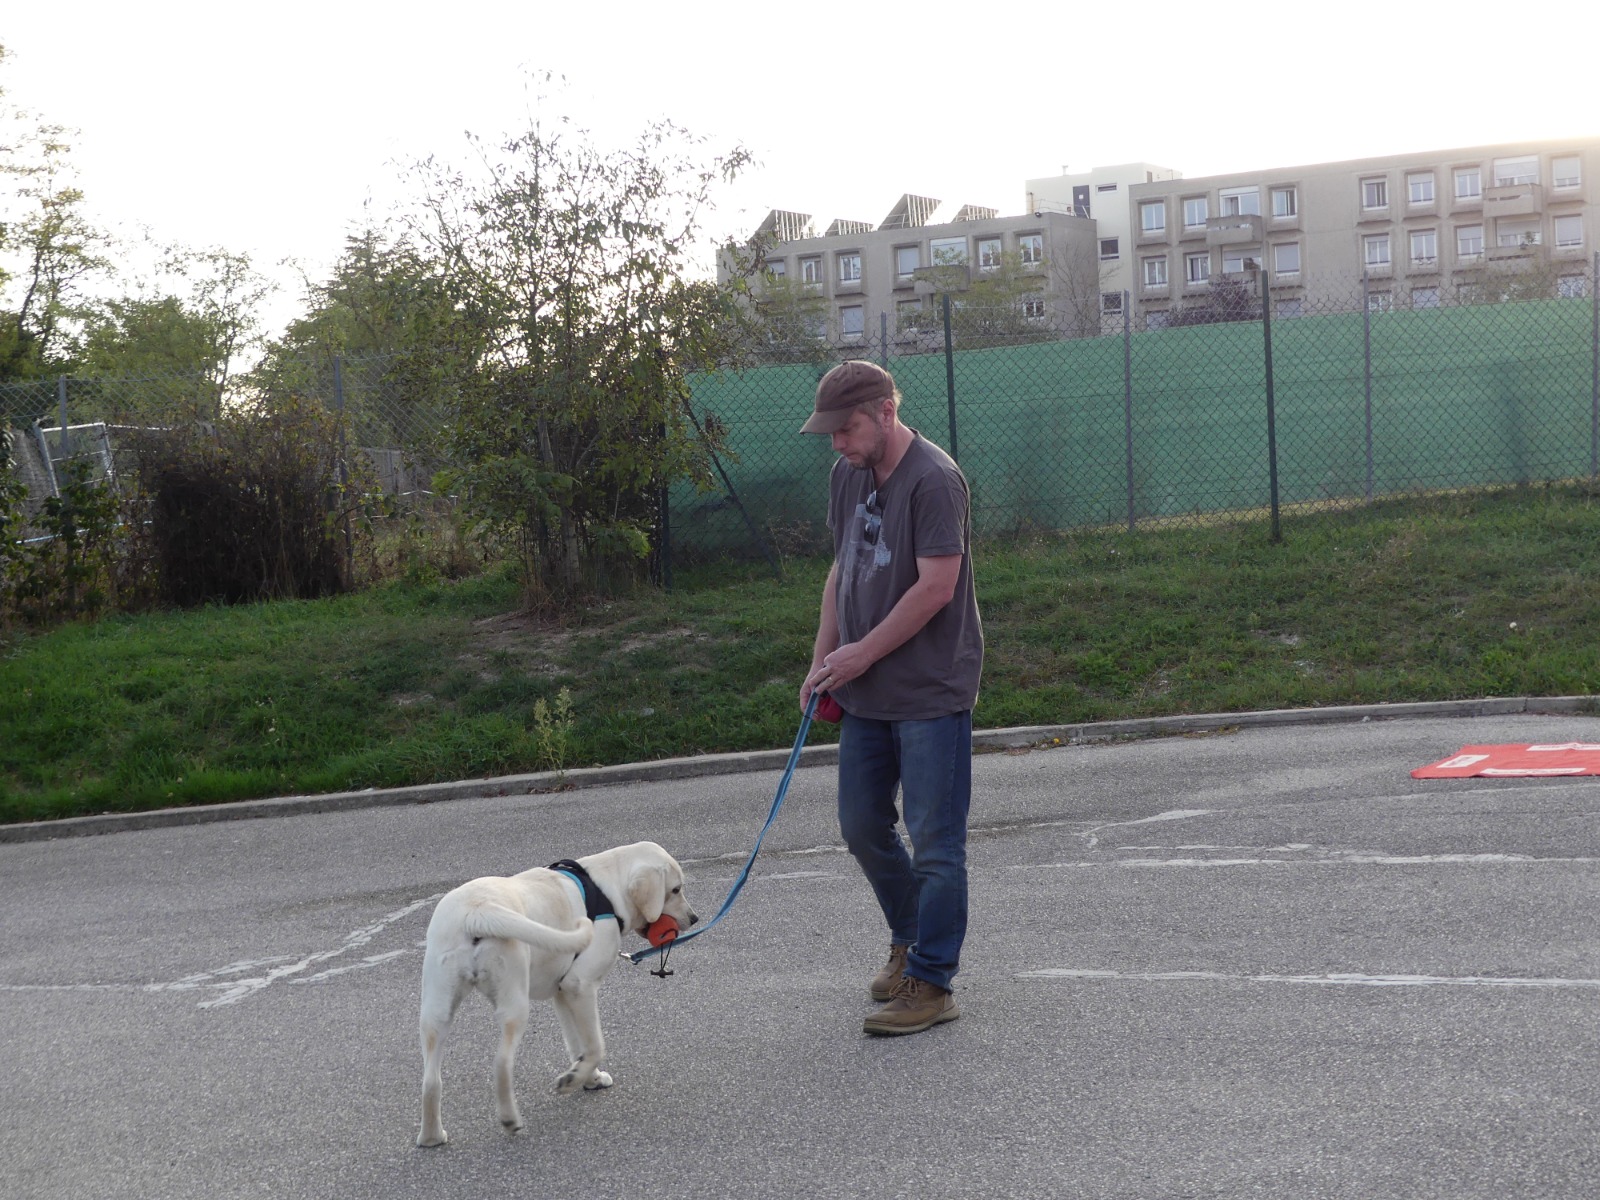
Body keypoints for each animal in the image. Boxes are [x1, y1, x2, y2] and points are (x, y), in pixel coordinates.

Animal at [416, 840, 696, 1147]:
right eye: (675, 889)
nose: (695, 918)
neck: (607, 889)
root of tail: (477, 911)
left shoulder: (563, 993)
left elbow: (577, 1045)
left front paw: (588, 1079)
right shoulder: (580, 985)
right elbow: (595, 1045)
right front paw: (574, 1080)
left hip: (436, 1010)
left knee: (431, 1079)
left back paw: (431, 1137)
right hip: (514, 1004)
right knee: (501, 1062)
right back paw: (510, 1120)